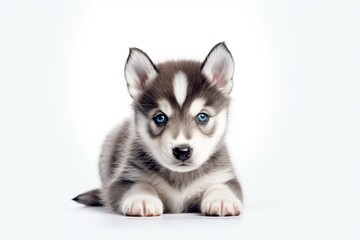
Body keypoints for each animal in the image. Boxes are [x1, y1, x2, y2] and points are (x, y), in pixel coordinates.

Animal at [73, 42, 242, 217]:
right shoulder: (124, 178)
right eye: (160, 118)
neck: (180, 176)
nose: (182, 151)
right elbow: (138, 184)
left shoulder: (224, 175)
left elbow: (220, 185)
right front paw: (142, 198)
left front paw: (222, 199)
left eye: (202, 117)